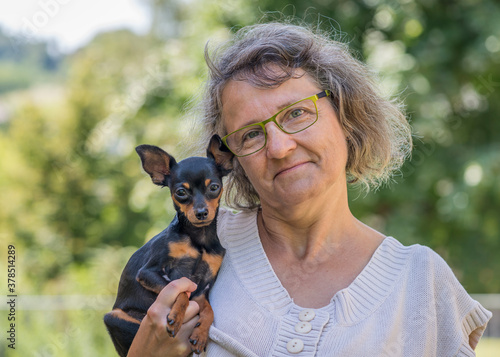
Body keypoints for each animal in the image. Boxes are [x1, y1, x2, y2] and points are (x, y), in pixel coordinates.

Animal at [105, 135, 232, 354]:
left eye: (214, 187)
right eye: (181, 192)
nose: (201, 213)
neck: (199, 240)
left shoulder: (202, 288)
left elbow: (209, 310)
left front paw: (200, 333)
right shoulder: (149, 272)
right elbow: (180, 291)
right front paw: (176, 317)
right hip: (114, 318)